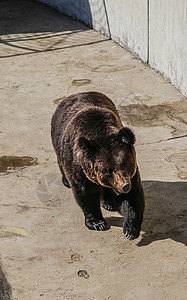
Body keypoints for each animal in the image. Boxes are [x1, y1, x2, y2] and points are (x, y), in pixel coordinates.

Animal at [51, 91, 145, 239]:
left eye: (125, 162)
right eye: (107, 169)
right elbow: (86, 194)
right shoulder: (79, 169)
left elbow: (132, 198)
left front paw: (130, 229)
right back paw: (66, 181)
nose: (124, 186)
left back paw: (108, 203)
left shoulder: (131, 174)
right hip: (57, 139)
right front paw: (98, 223)